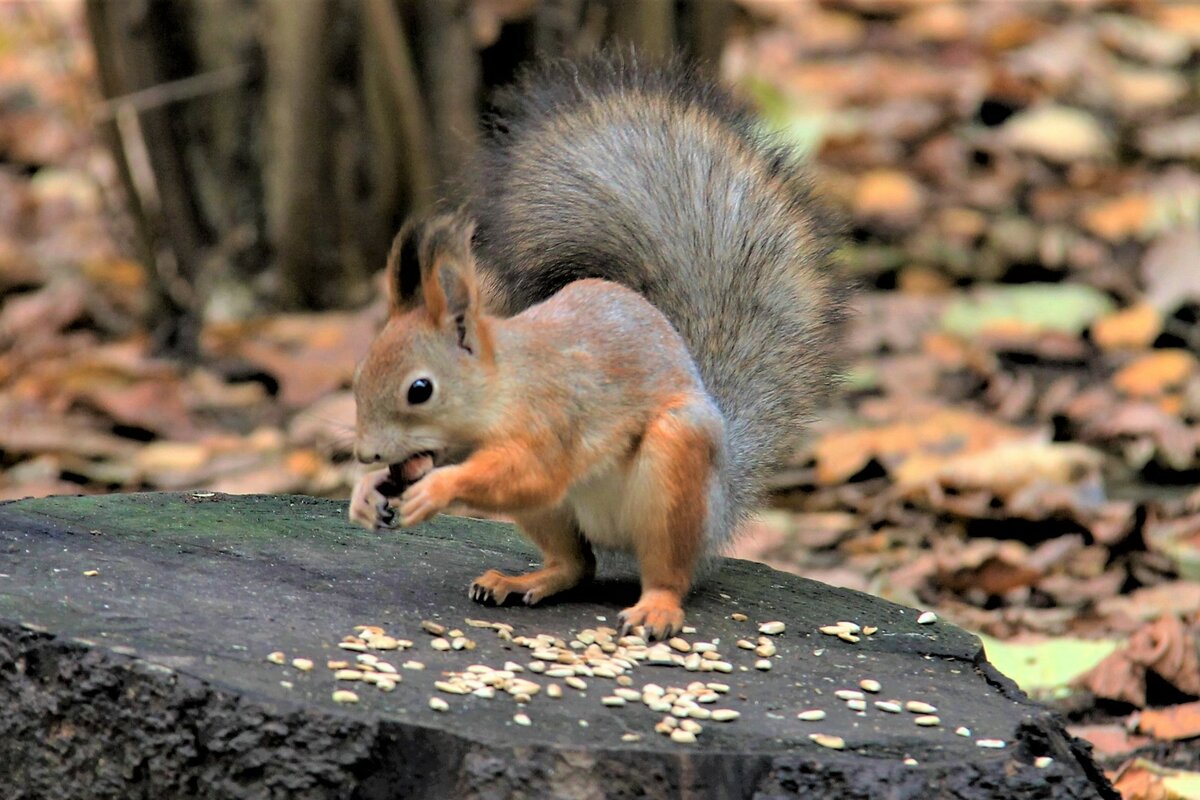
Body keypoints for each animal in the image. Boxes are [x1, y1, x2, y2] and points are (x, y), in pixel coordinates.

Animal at [349, 52, 845, 639]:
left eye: (420, 389)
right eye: (360, 375)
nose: (365, 453)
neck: (503, 383)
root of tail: (722, 502)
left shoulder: (556, 418)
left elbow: (531, 471)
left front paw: (436, 490)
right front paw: (367, 492)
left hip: (675, 473)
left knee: (669, 570)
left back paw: (656, 608)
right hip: (557, 516)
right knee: (576, 565)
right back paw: (520, 581)